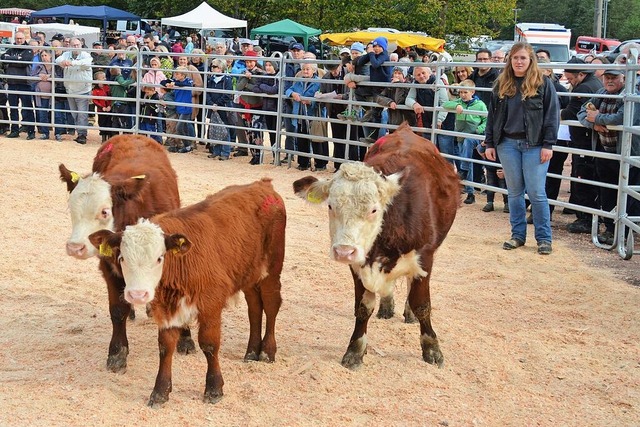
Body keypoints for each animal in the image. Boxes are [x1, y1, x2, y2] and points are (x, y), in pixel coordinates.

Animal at [59, 135, 195, 374]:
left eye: (105, 211)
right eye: (71, 208)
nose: (75, 247)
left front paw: (186, 339)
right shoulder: (108, 264)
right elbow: (117, 310)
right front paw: (117, 353)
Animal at [296, 123, 460, 372]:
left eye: (374, 209)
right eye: (331, 206)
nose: (344, 251)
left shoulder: (424, 259)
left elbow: (422, 305)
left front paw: (432, 349)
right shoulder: (359, 264)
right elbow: (363, 308)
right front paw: (355, 350)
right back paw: (386, 305)